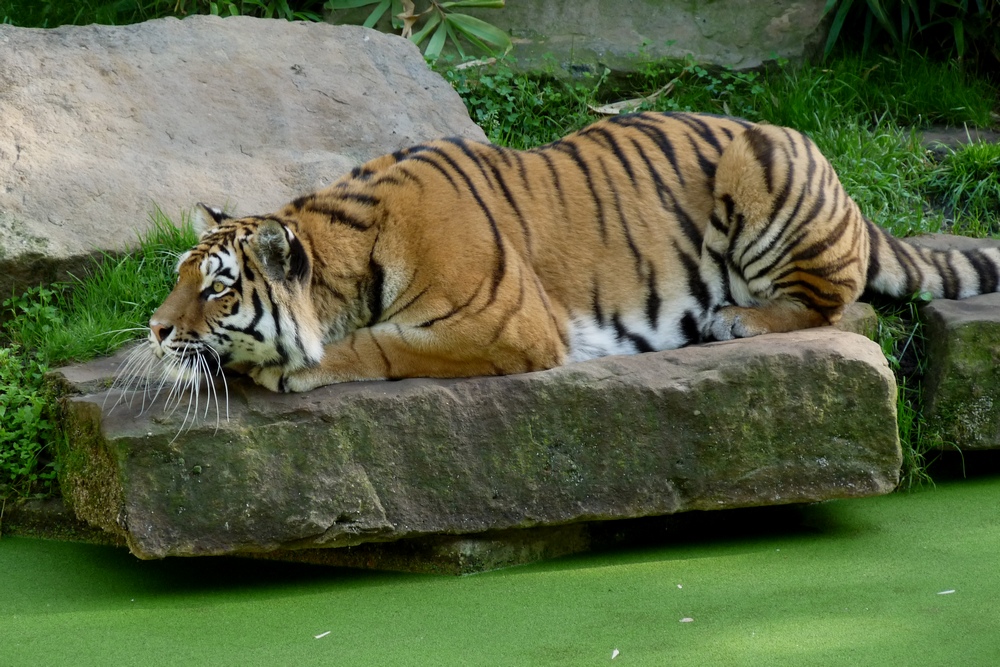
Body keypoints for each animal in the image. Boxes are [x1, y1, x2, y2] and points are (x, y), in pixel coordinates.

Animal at [137, 111, 1000, 396]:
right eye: (178, 277)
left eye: (216, 289)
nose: (152, 329)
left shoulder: (507, 326)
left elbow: (383, 346)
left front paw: (288, 368)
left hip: (763, 164)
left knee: (835, 299)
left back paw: (738, 321)